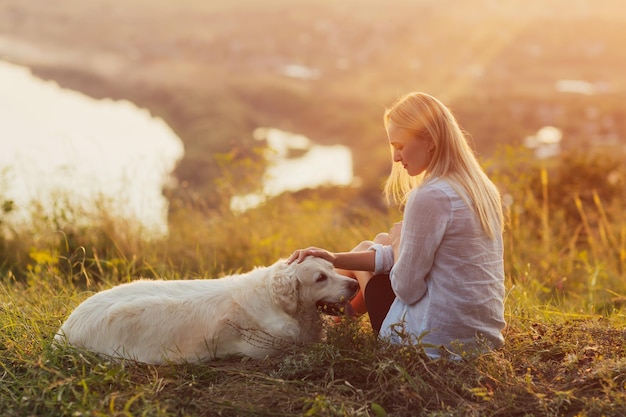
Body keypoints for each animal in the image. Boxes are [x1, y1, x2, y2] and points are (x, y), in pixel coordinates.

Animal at [54, 256, 356, 364]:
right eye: (320, 278)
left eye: (332, 268)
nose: (355, 284)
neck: (276, 301)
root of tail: (63, 332)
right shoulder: (265, 347)